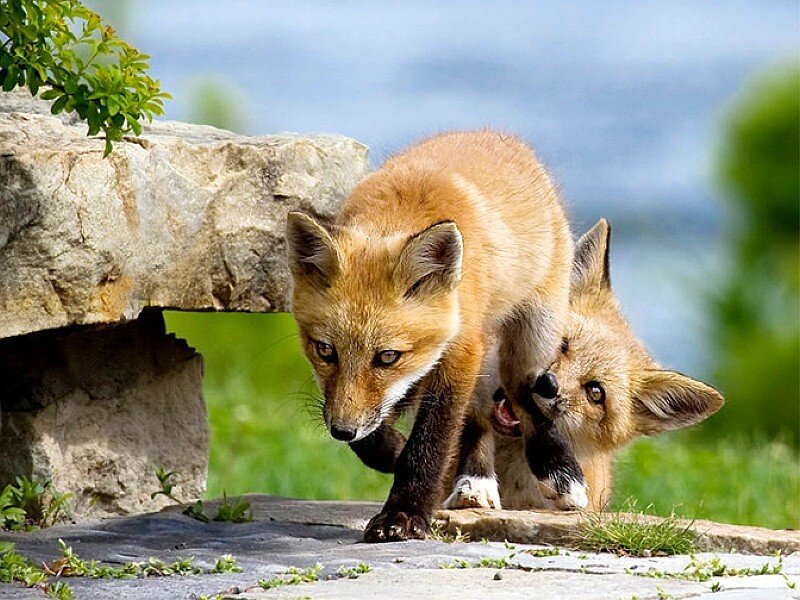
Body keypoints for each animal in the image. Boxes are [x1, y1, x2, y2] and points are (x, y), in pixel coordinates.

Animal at [286, 130, 574, 541]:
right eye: (326, 351)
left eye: (387, 356)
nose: (341, 431)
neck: (397, 217)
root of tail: (497, 135)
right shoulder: (387, 388)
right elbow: (379, 433)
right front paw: (391, 453)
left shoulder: (460, 351)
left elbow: (431, 441)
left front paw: (404, 514)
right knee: (477, 417)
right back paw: (473, 481)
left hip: (533, 338)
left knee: (525, 395)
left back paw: (557, 470)